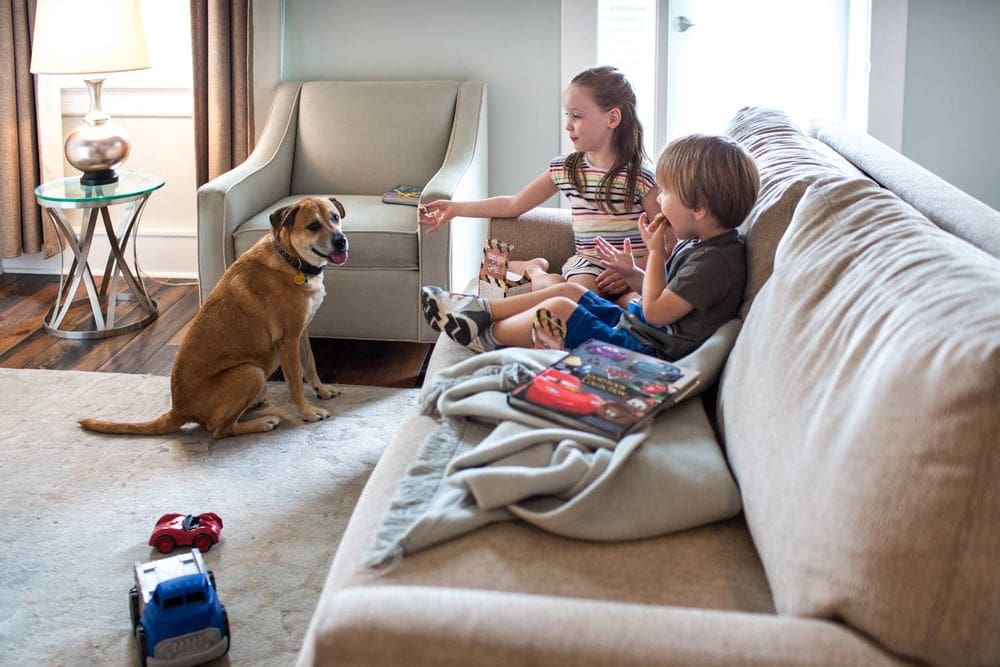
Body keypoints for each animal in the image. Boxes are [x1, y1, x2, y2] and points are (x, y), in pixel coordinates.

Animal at [80, 197, 350, 438]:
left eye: (335, 217)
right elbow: (294, 382)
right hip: (250, 372)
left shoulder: (302, 332)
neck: (291, 259)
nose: (341, 240)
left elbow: (311, 364)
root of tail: (179, 410)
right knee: (219, 430)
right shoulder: (288, 340)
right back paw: (261, 423)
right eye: (313, 226)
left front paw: (322, 390)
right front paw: (307, 412)